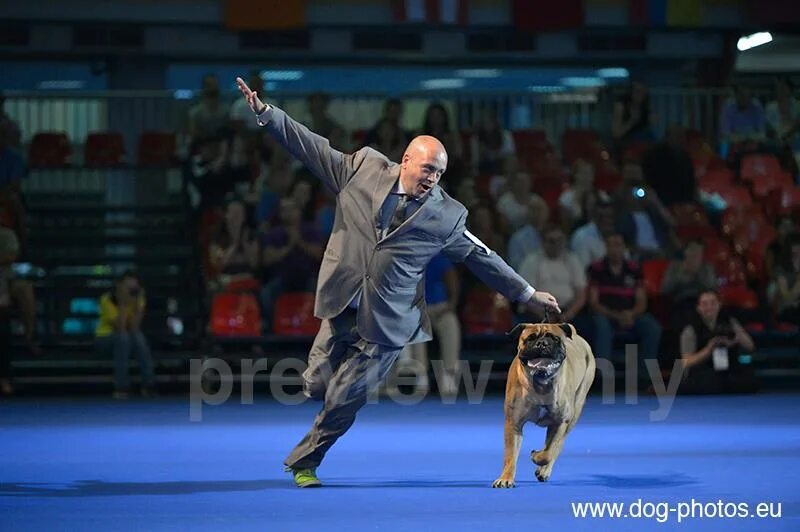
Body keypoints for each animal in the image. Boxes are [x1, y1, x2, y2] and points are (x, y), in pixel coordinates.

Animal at [490, 320, 596, 486]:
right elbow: (510, 455)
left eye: (555, 339)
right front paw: (506, 478)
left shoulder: (560, 423)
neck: (541, 383)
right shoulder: (513, 423)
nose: (542, 343)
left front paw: (536, 456)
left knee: (557, 446)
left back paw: (544, 469)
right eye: (530, 339)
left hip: (574, 413)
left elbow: (549, 452)